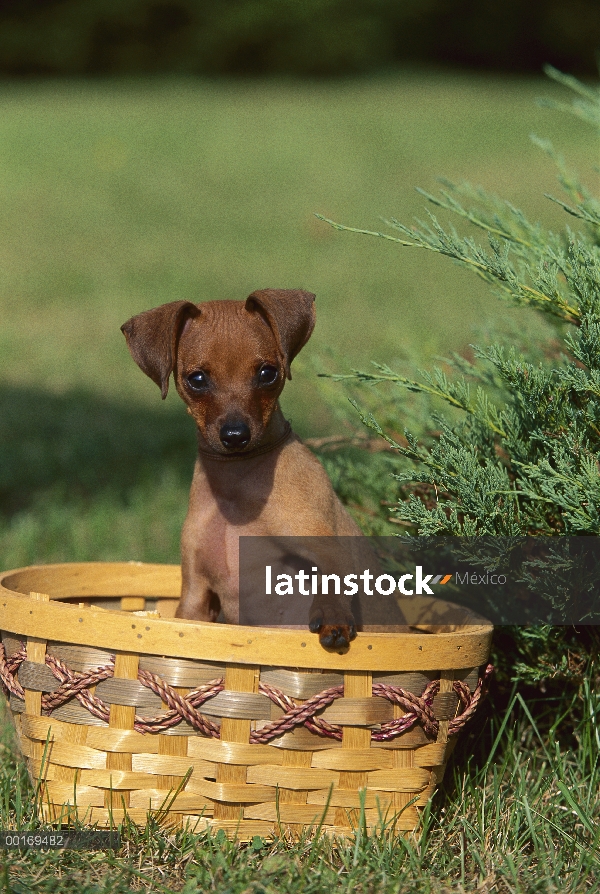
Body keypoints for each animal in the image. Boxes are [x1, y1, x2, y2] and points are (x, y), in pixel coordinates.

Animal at [122, 294, 366, 652]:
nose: (236, 435)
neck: (236, 487)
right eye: (197, 379)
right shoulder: (195, 597)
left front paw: (332, 615)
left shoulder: (329, 549)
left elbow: (334, 578)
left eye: (268, 373)